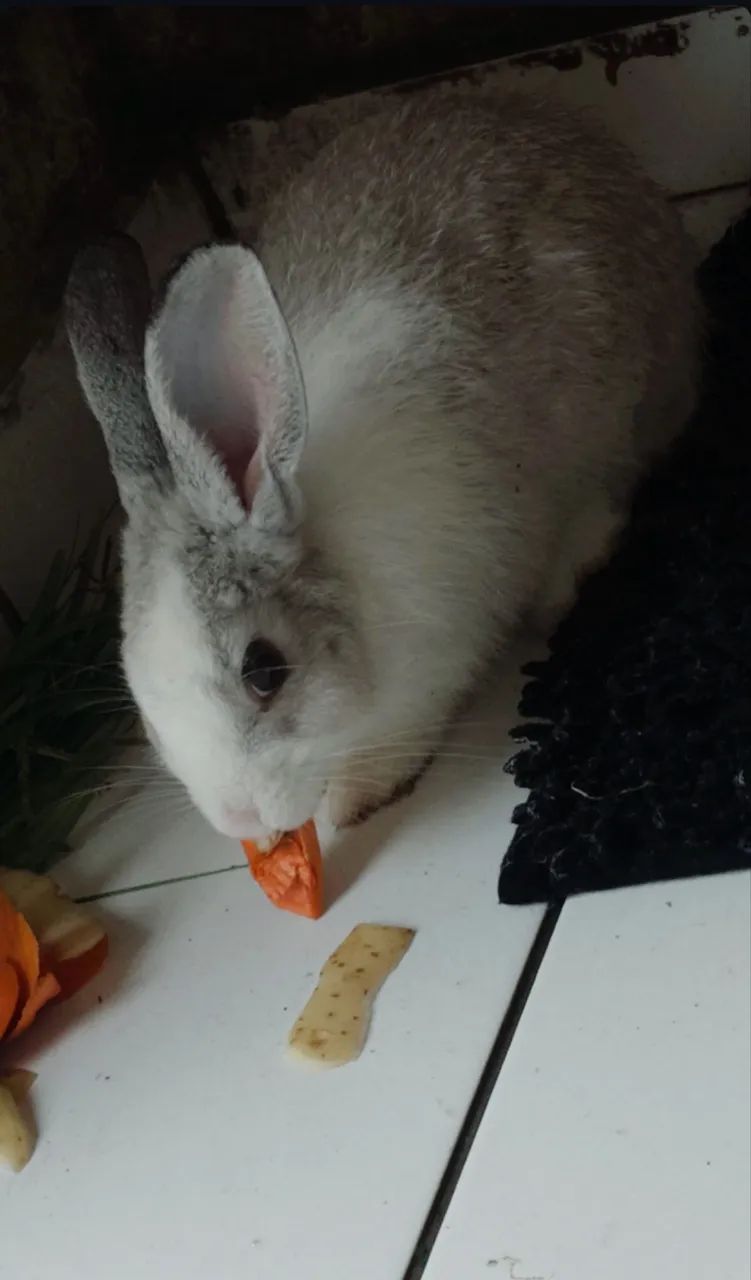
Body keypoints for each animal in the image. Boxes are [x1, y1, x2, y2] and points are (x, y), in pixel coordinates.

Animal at [64, 88, 699, 843]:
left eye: (264, 670)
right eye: (140, 697)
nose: (240, 818)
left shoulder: (436, 657)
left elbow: (390, 743)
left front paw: (354, 801)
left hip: (622, 408)